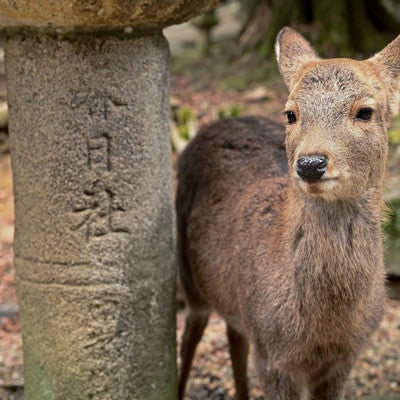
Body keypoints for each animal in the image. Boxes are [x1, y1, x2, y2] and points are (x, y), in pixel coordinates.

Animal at [177, 26, 400, 398]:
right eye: (290, 114)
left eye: (365, 111)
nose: (311, 164)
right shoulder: (273, 355)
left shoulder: (345, 357)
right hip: (186, 272)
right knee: (191, 333)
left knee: (234, 336)